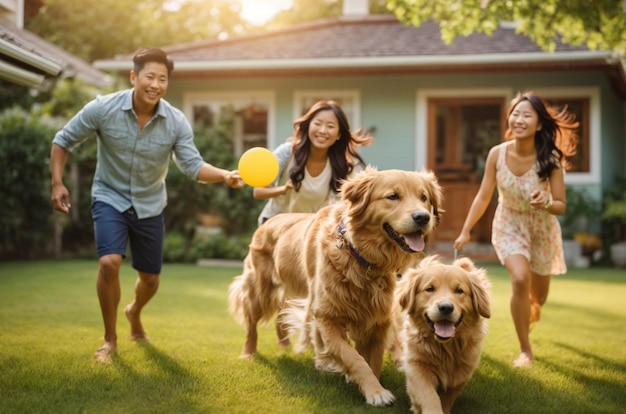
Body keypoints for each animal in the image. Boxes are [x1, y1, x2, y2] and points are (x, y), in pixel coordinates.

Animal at [270, 167, 442, 406]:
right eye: (393, 196)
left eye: (423, 197)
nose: (423, 217)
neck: (362, 258)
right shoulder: (328, 318)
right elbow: (353, 357)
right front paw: (374, 391)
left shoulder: (378, 319)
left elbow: (373, 359)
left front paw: (372, 384)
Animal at [392, 256, 490, 414]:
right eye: (430, 289)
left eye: (459, 290)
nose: (446, 308)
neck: (446, 348)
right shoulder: (417, 365)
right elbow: (429, 395)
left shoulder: (463, 371)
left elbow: (448, 396)